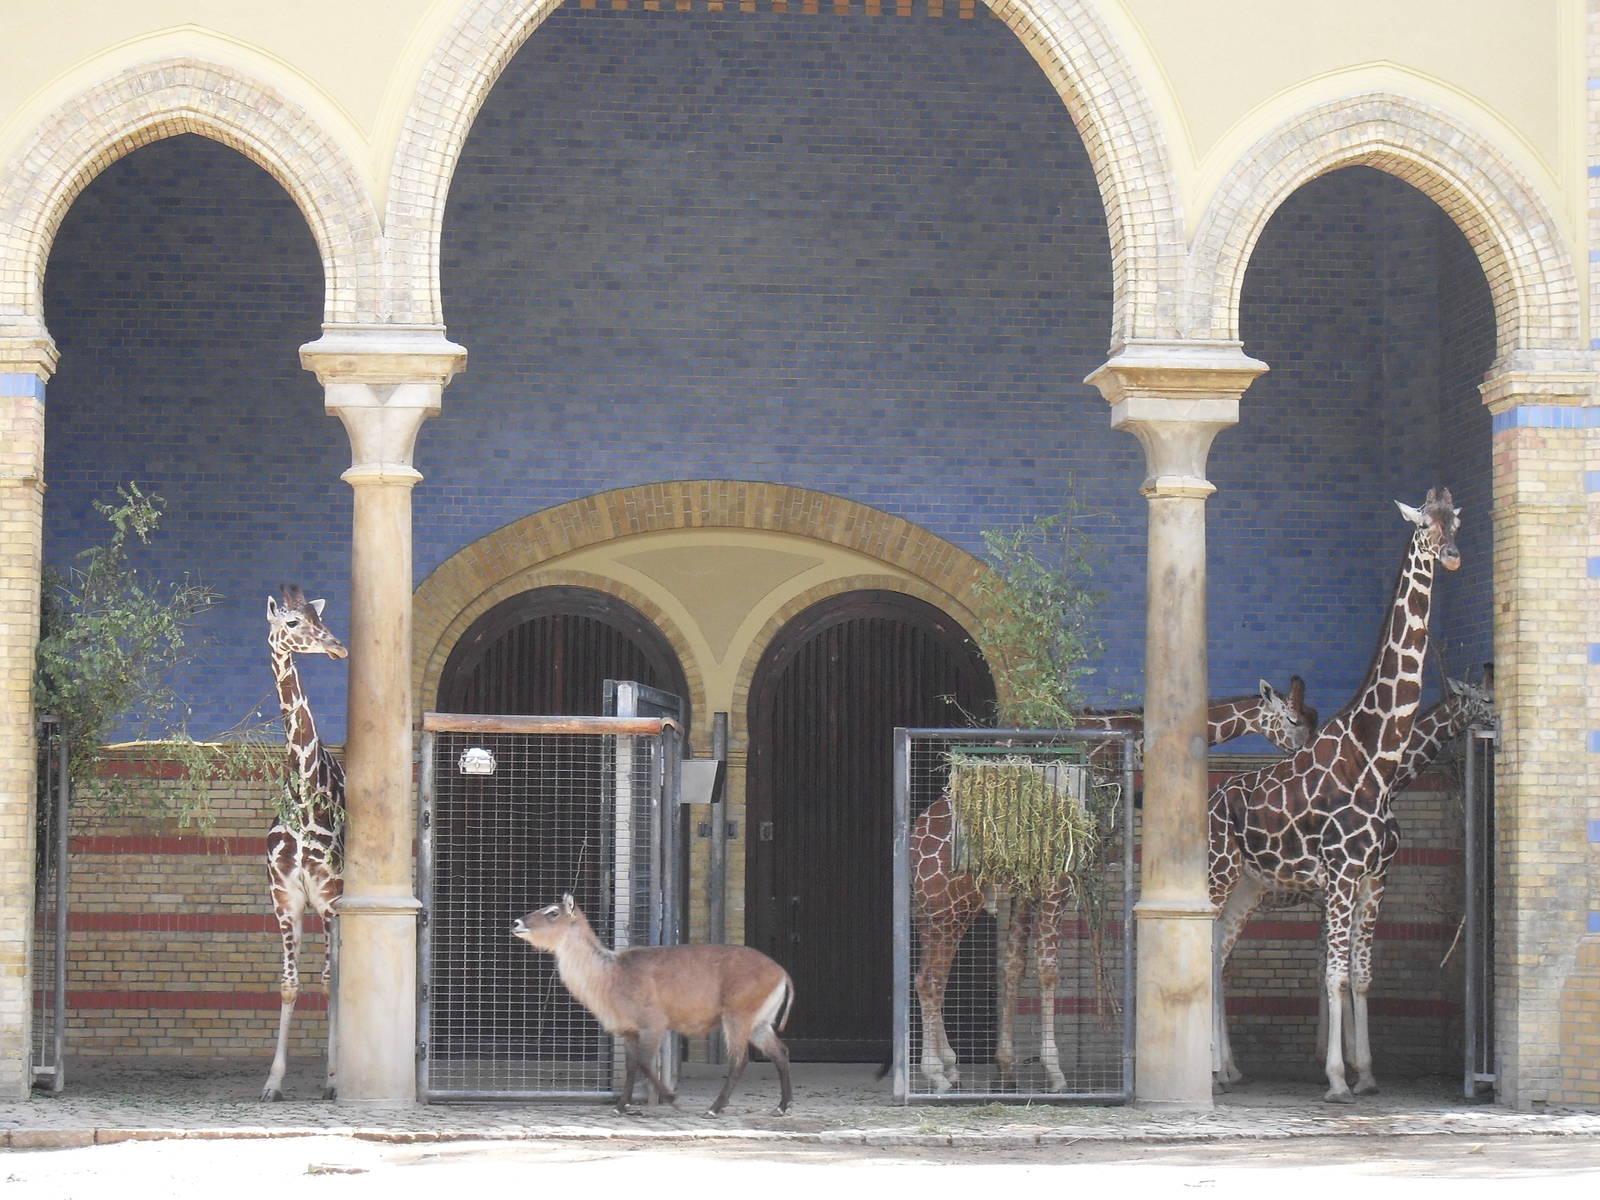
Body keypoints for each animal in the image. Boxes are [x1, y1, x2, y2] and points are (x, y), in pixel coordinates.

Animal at [910, 677, 1318, 1094]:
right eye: (1293, 720)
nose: (1304, 754)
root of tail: (912, 851)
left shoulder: (1028, 886)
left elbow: (1014, 966)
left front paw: (1007, 1068)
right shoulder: (1057, 880)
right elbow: (1047, 968)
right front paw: (1054, 1072)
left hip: (933, 910)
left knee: (928, 977)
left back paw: (948, 1067)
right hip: (952, 905)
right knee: (930, 979)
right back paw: (936, 1072)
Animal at [1208, 487, 1462, 1103]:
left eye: (1457, 521)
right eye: (1424, 525)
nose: (1451, 556)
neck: (1379, 757)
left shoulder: (1376, 878)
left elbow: (1363, 976)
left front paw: (1367, 1073)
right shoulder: (1342, 876)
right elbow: (1335, 973)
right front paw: (1336, 1078)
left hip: (1249, 886)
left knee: (1216, 953)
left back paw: (1221, 1070)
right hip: (1217, 872)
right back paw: (1210, 1069)